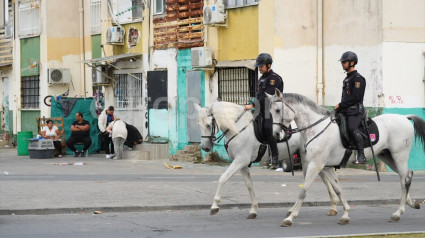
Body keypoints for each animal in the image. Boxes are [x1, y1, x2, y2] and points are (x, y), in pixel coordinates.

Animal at [195, 102, 344, 219]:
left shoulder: (240, 161)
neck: (239, 127)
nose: (205, 147)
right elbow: (249, 185)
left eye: (208, 125)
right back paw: (332, 206)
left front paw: (214, 206)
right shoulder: (242, 164)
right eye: (199, 125)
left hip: (311, 158)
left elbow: (223, 178)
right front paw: (253, 210)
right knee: (325, 178)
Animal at [266, 91, 422, 227]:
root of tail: (404, 117)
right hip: (387, 156)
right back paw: (411, 203)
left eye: (278, 110)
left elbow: (303, 191)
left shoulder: (315, 165)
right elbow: (338, 189)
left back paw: (398, 213)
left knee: (404, 180)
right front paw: (346, 214)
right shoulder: (326, 167)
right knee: (407, 176)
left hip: (399, 156)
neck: (317, 128)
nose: (275, 134)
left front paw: (290, 218)